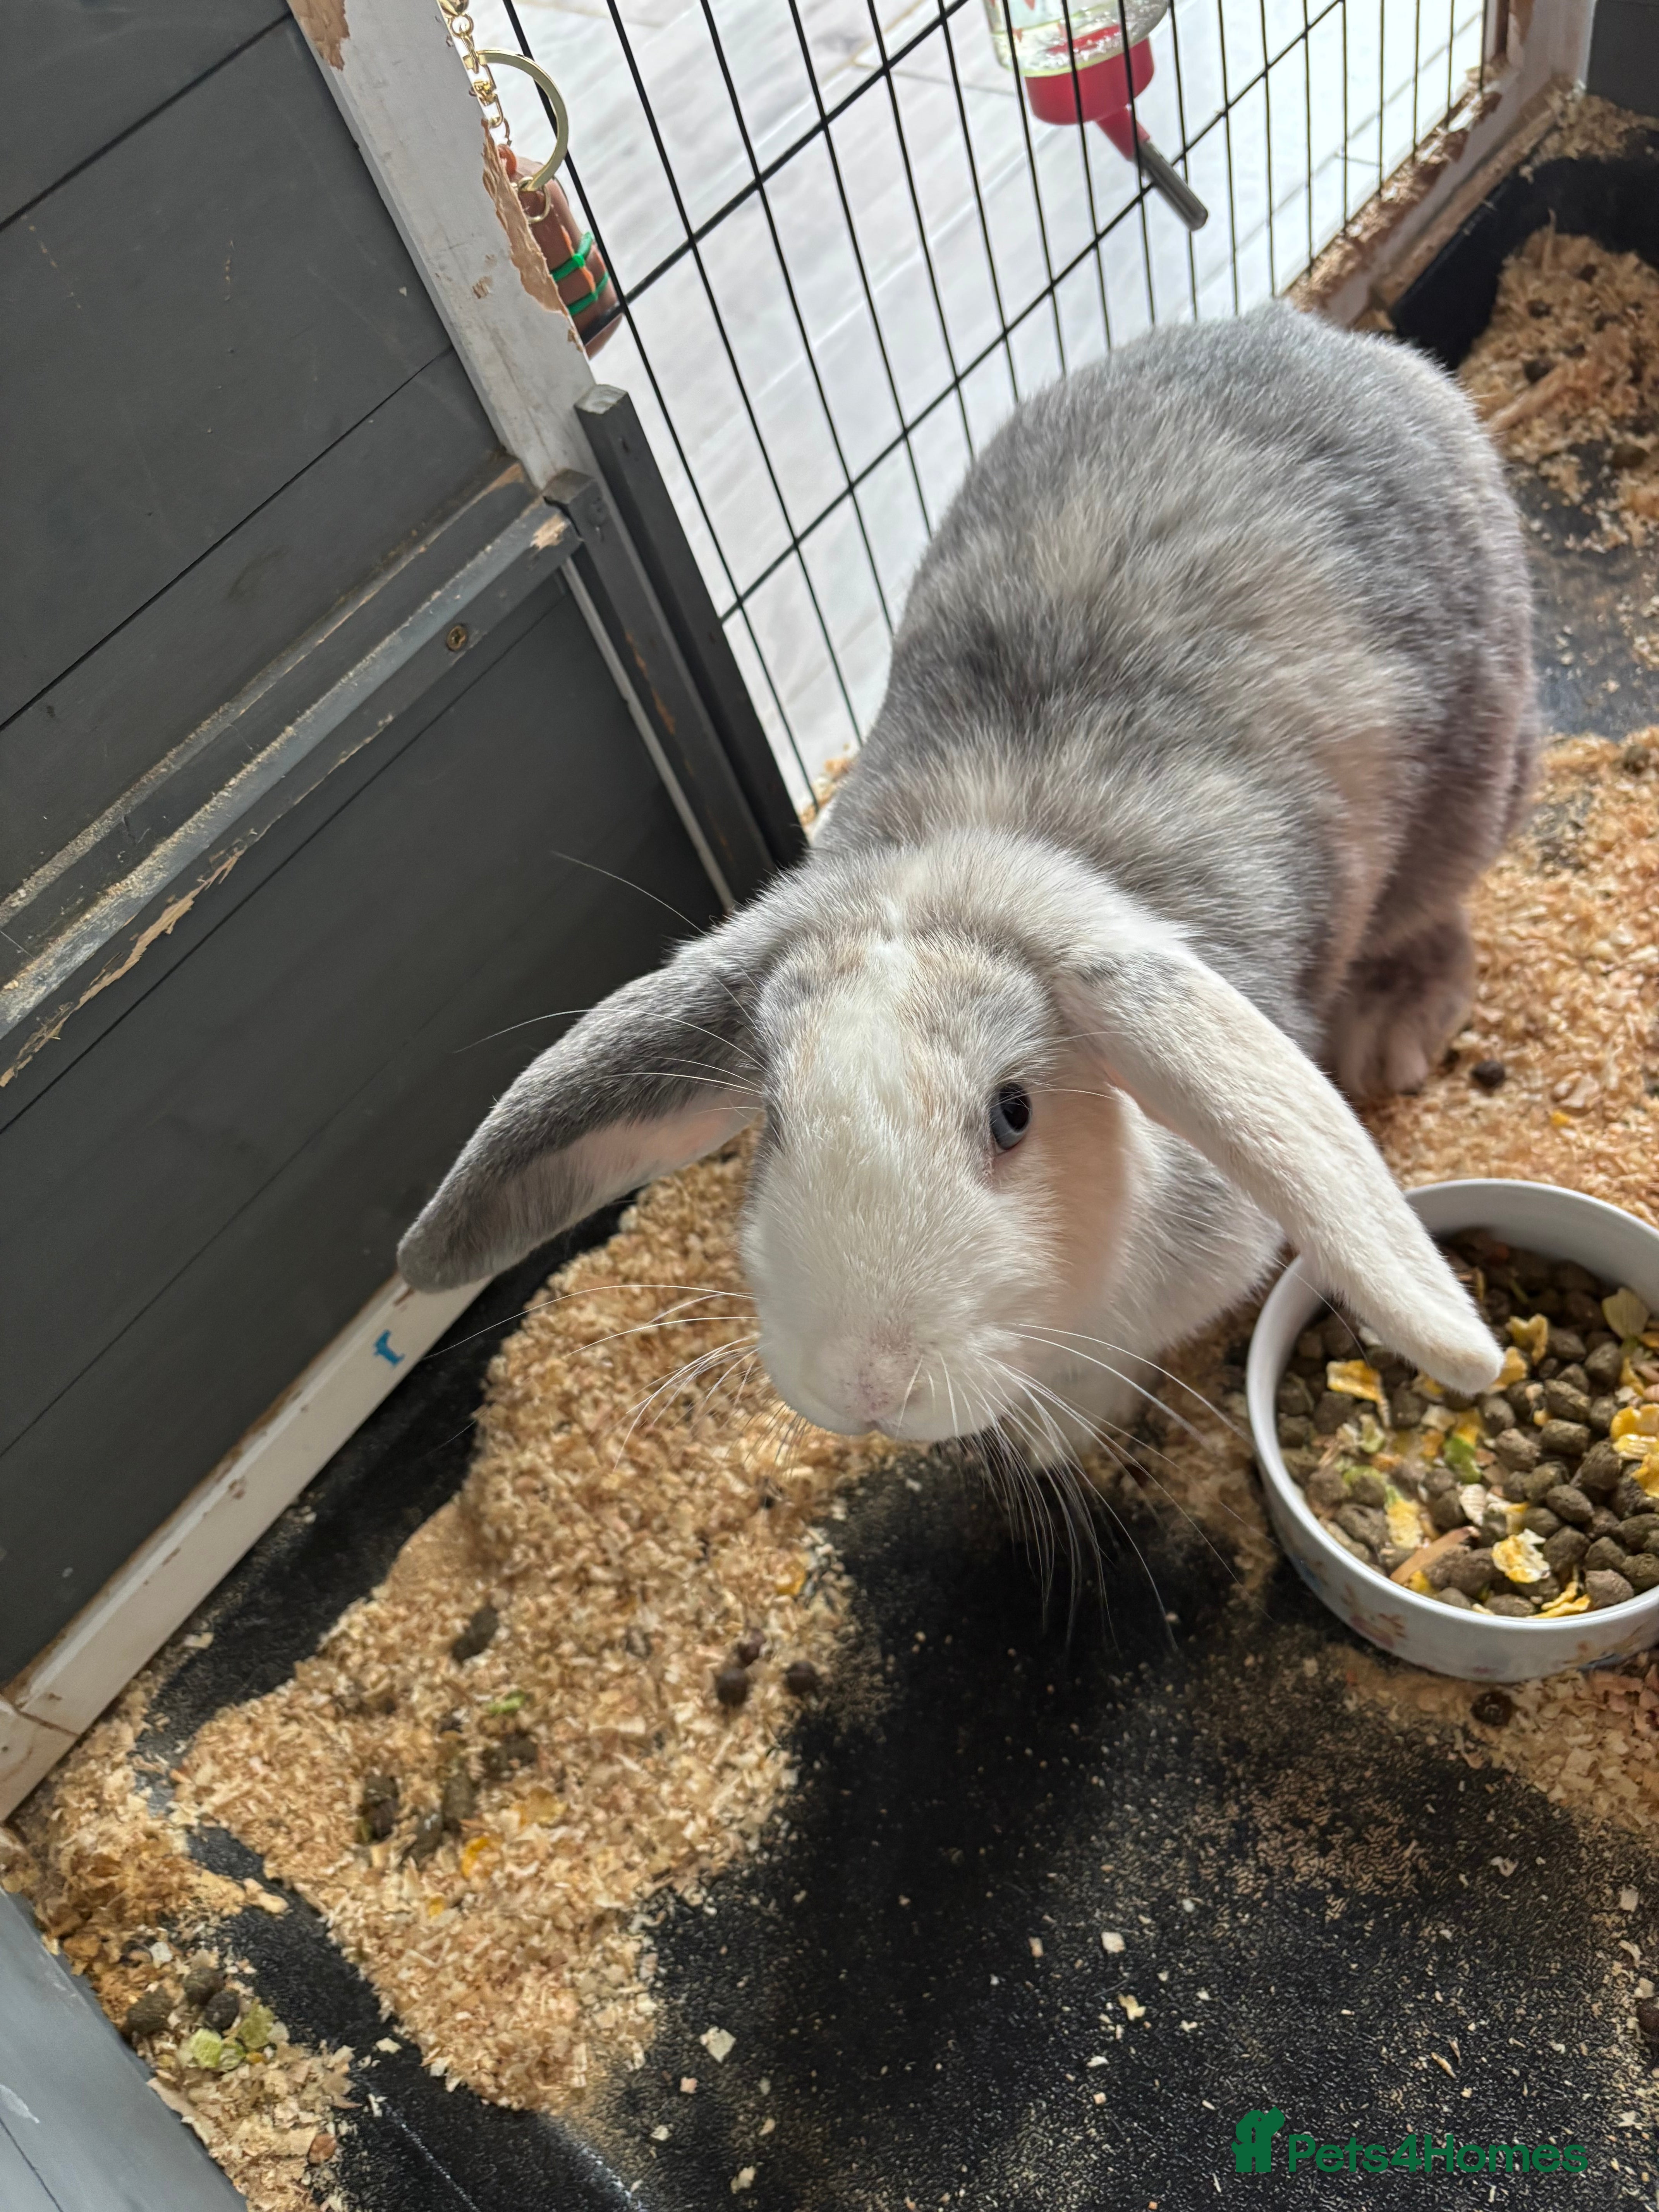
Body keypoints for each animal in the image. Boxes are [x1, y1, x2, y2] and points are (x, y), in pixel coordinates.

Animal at [399, 303, 1533, 1460]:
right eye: (775, 1118)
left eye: (1012, 1114)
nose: (866, 1381)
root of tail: (1335, 342)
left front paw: (1056, 1436)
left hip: (1468, 783)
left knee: (1435, 915)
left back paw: (1389, 1030)